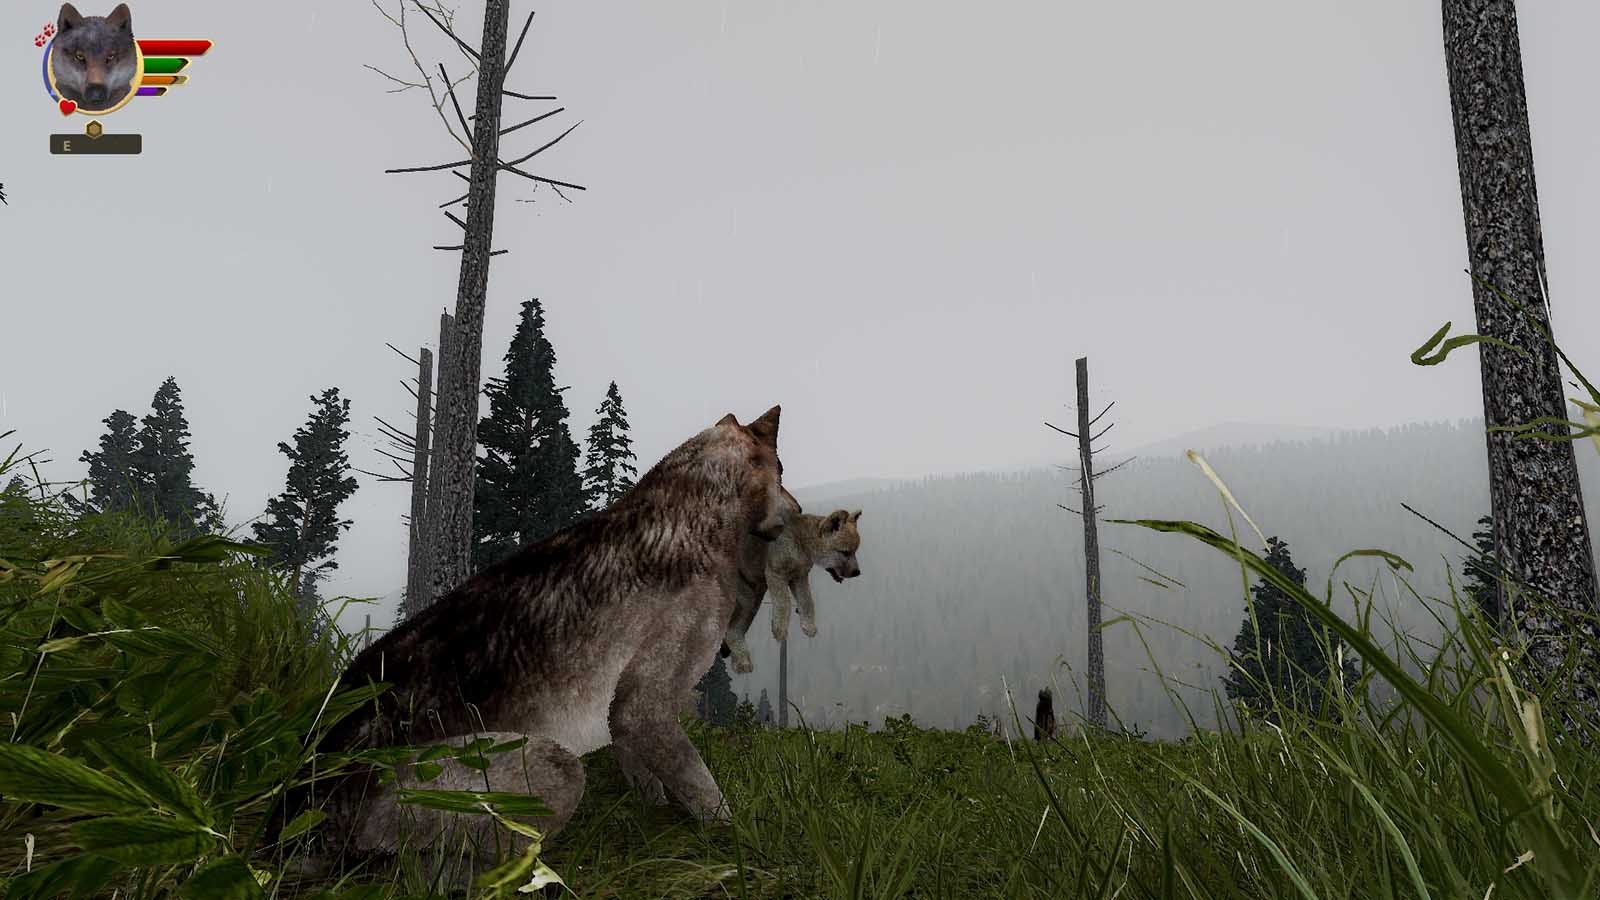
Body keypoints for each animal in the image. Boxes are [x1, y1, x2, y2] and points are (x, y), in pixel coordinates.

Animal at [304, 406, 789, 868]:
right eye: (782, 469)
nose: (796, 512)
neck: (696, 501)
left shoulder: (623, 715)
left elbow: (645, 774)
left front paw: (654, 810)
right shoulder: (644, 706)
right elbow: (703, 790)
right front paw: (740, 842)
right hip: (552, 767)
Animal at [719, 507, 863, 673]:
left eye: (855, 551)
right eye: (845, 552)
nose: (857, 572)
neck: (801, 544)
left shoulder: (799, 578)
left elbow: (807, 602)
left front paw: (808, 626)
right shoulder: (776, 574)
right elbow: (784, 603)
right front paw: (779, 629)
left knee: (731, 629)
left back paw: (738, 661)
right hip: (749, 598)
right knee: (731, 629)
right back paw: (742, 661)